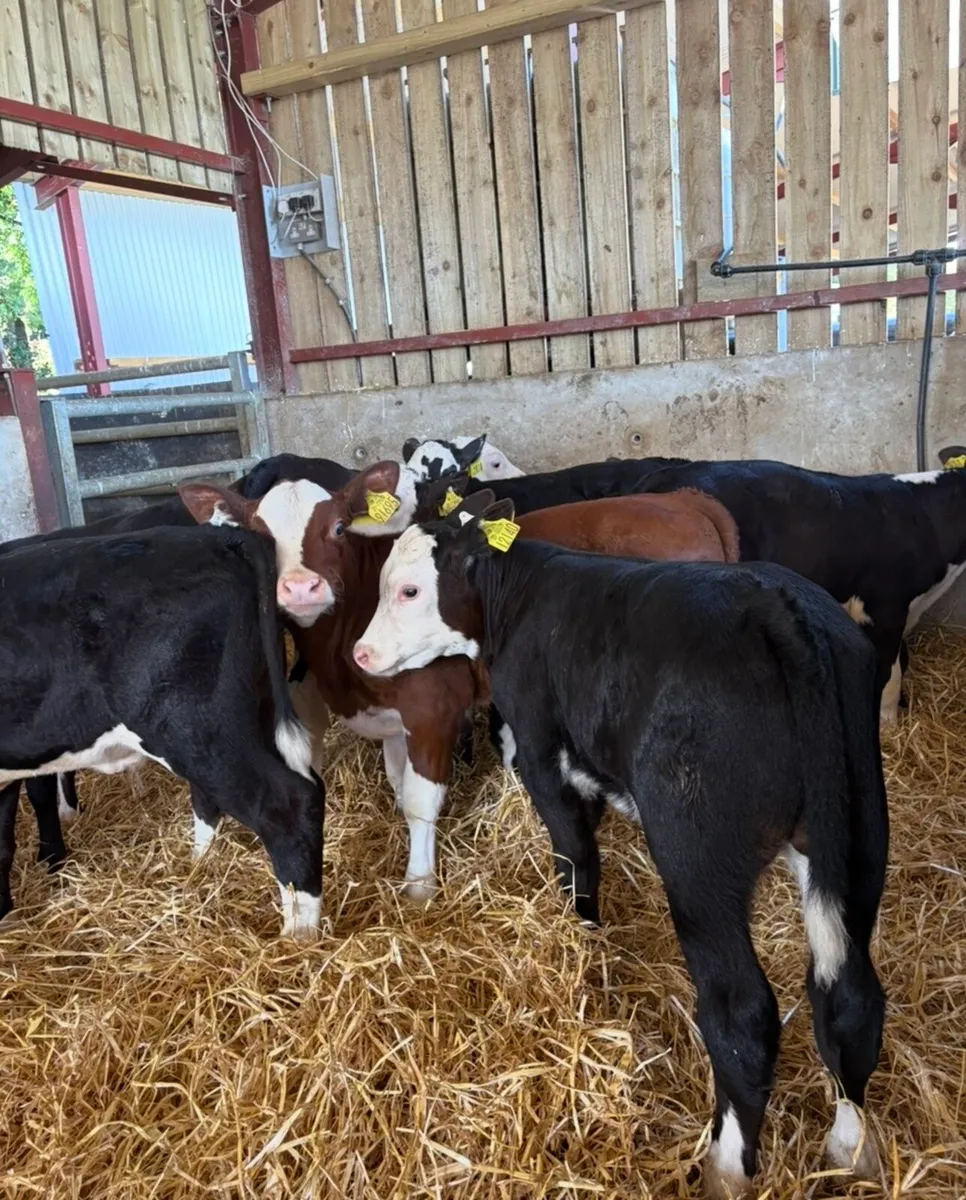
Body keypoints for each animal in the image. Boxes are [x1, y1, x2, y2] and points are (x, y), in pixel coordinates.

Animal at [179, 462, 485, 902]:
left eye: (340, 528)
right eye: (262, 537)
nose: (300, 588)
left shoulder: (433, 707)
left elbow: (420, 801)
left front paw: (419, 886)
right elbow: (392, 778)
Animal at [351, 492, 889, 1198]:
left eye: (410, 589)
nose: (360, 653)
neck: (524, 595)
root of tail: (779, 608)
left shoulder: (544, 754)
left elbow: (576, 856)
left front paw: (580, 937)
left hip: (698, 860)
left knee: (742, 1015)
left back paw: (725, 1164)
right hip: (856, 839)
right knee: (849, 999)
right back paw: (851, 1147)